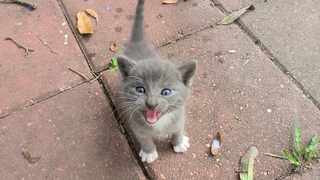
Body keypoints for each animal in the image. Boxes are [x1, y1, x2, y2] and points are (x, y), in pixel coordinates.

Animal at [117, 0, 196, 163]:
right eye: (140, 90)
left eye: (166, 92)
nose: (151, 104)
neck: (159, 123)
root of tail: (138, 42)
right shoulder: (137, 126)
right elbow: (145, 139)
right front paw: (149, 152)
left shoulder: (179, 116)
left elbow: (178, 130)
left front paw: (179, 143)